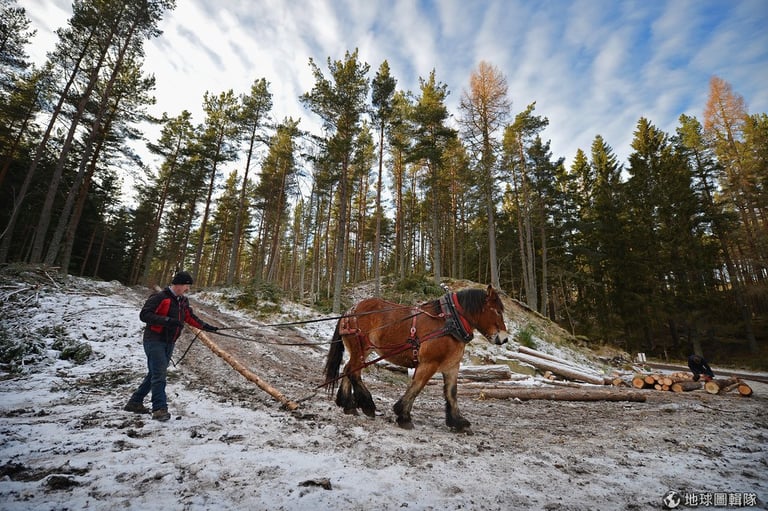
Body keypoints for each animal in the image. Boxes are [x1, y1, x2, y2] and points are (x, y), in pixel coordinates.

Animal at [320, 286, 508, 434]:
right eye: (497, 311)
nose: (504, 338)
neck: (449, 321)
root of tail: (349, 311)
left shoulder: (451, 366)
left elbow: (451, 393)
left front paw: (458, 422)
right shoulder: (429, 363)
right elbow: (417, 387)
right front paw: (403, 416)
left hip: (360, 351)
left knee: (348, 369)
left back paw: (348, 405)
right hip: (361, 349)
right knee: (353, 372)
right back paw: (367, 405)